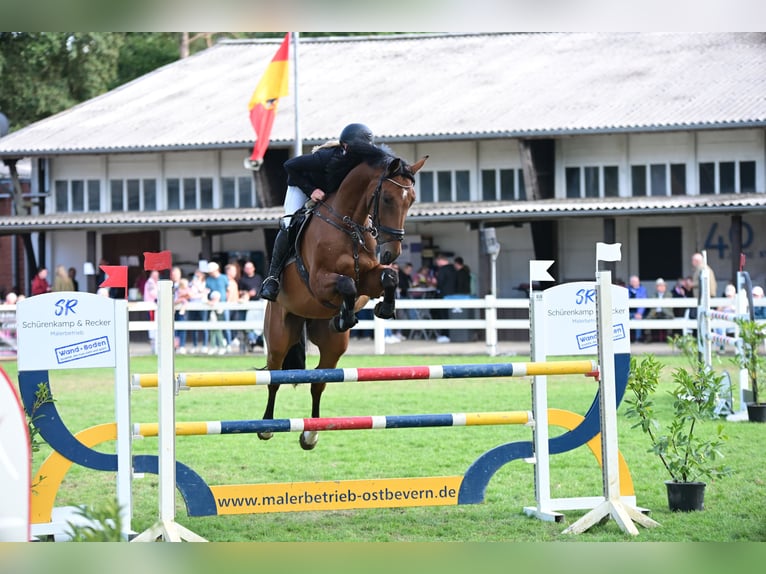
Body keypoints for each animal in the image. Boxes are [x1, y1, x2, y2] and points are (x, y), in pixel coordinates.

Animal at [260, 145, 428, 449]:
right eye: (387, 198)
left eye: (411, 201)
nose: (392, 253)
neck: (350, 226)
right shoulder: (318, 282)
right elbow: (347, 284)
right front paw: (345, 316)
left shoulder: (369, 280)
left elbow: (388, 278)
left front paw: (382, 309)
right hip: (279, 334)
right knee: (274, 375)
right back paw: (266, 426)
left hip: (333, 346)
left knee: (319, 381)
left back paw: (311, 434)